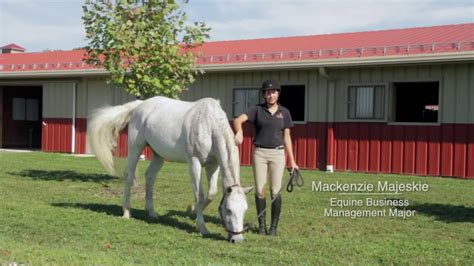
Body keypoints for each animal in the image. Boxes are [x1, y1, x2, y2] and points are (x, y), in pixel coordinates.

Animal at [87, 96, 254, 243]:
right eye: (228, 210)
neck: (209, 125)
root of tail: (140, 105)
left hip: (158, 155)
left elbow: (212, 193)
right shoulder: (194, 162)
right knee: (129, 176)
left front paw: (191, 210)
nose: (237, 239)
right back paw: (127, 212)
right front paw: (202, 227)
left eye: (245, 210)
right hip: (136, 148)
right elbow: (199, 195)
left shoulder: (213, 165)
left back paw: (151, 212)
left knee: (150, 177)